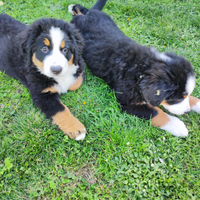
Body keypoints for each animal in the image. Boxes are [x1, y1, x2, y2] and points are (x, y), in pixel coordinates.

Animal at [69, 0, 200, 137]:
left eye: (183, 97)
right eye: (177, 98)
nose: (187, 112)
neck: (142, 69)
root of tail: (88, 15)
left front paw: (197, 103)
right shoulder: (127, 101)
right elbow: (155, 112)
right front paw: (177, 125)